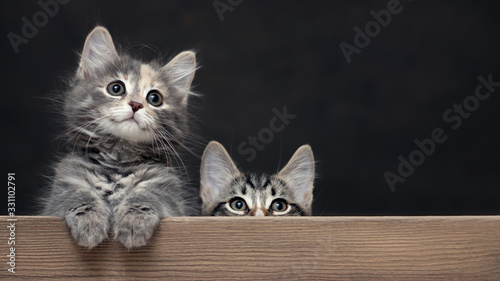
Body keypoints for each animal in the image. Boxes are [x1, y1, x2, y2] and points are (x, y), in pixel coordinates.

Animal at [41, 26, 197, 248]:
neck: (118, 159)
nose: (136, 104)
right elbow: (78, 194)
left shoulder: (170, 193)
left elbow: (148, 194)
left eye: (155, 98)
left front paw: (134, 221)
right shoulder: (64, 184)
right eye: (116, 88)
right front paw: (89, 222)